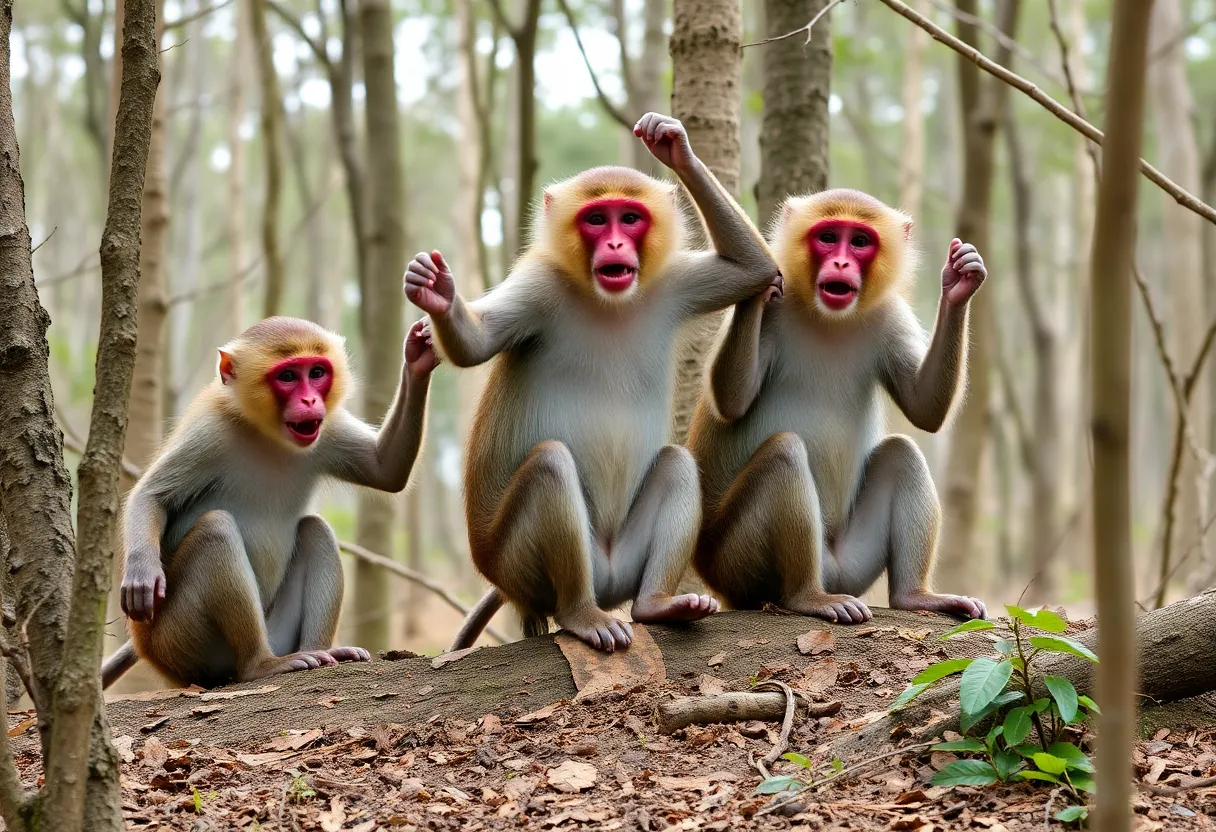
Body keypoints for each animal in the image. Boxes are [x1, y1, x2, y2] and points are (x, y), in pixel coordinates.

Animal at [100, 315, 439, 689]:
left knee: (315, 529)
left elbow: (385, 469)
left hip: (276, 631)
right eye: (288, 376)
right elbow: (151, 496)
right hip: (180, 643)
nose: (310, 401)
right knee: (216, 530)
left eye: (316, 372)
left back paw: (322, 651)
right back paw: (260, 665)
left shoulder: (325, 428)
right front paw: (142, 573)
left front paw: (419, 355)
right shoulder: (210, 432)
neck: (268, 433)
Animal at [407, 112, 781, 653]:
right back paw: (580, 613)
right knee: (550, 465)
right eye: (597, 219)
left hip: (620, 563)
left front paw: (673, 144)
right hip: (516, 564)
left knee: (676, 464)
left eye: (630, 218)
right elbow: (474, 346)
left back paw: (657, 605)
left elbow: (750, 268)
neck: (605, 299)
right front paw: (437, 291)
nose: (616, 246)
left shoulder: (669, 285)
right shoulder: (539, 287)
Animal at [687, 189, 988, 625]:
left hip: (849, 565)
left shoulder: (890, 315)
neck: (828, 316)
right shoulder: (777, 314)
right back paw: (806, 597)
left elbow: (923, 408)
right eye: (828, 237)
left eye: (859, 241)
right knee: (785, 454)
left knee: (902, 452)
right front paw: (760, 286)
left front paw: (960, 283)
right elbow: (731, 400)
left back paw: (914, 596)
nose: (842, 263)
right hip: (734, 563)